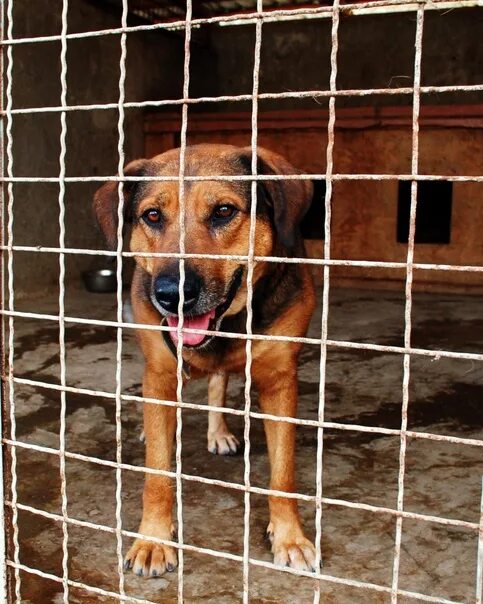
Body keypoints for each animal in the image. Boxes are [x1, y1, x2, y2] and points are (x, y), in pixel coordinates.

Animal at [93, 144, 320, 580]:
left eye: (223, 211)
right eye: (152, 216)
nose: (172, 295)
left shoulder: (280, 380)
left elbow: (283, 476)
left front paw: (290, 538)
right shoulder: (161, 373)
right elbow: (157, 474)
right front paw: (153, 540)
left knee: (218, 383)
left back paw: (218, 431)